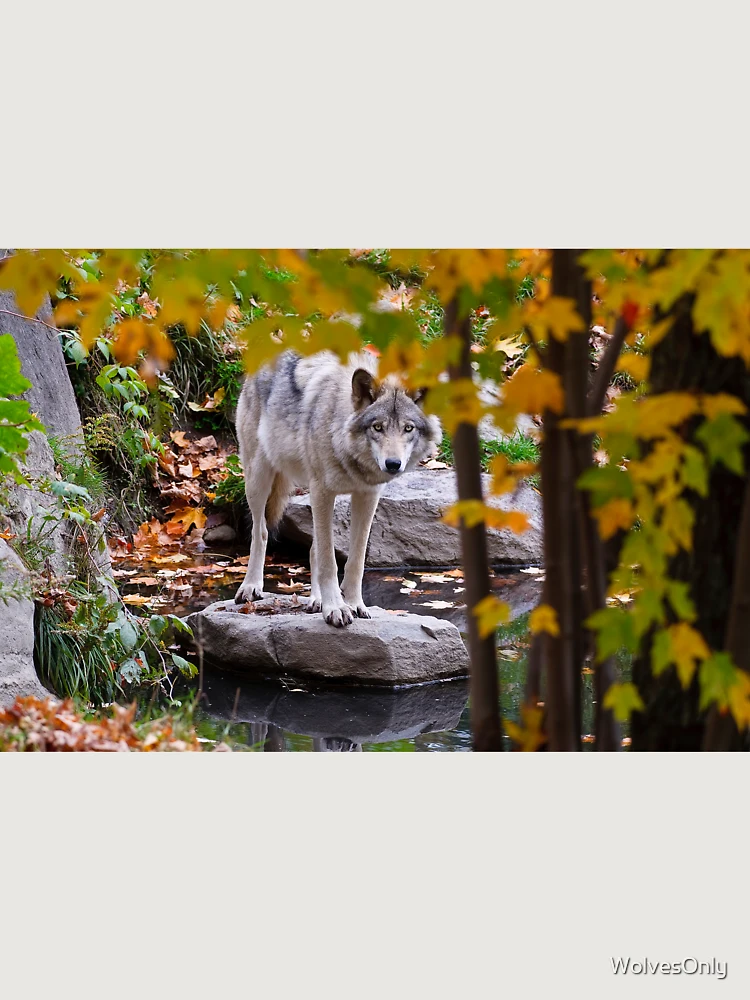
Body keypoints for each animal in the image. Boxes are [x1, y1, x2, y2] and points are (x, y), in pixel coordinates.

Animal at [233, 349, 441, 627]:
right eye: (377, 427)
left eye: (408, 428)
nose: (393, 464)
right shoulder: (323, 491)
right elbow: (328, 561)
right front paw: (335, 607)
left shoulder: (367, 495)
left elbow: (355, 559)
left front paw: (353, 604)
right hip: (258, 479)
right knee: (261, 532)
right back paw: (251, 587)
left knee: (312, 548)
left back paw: (315, 599)